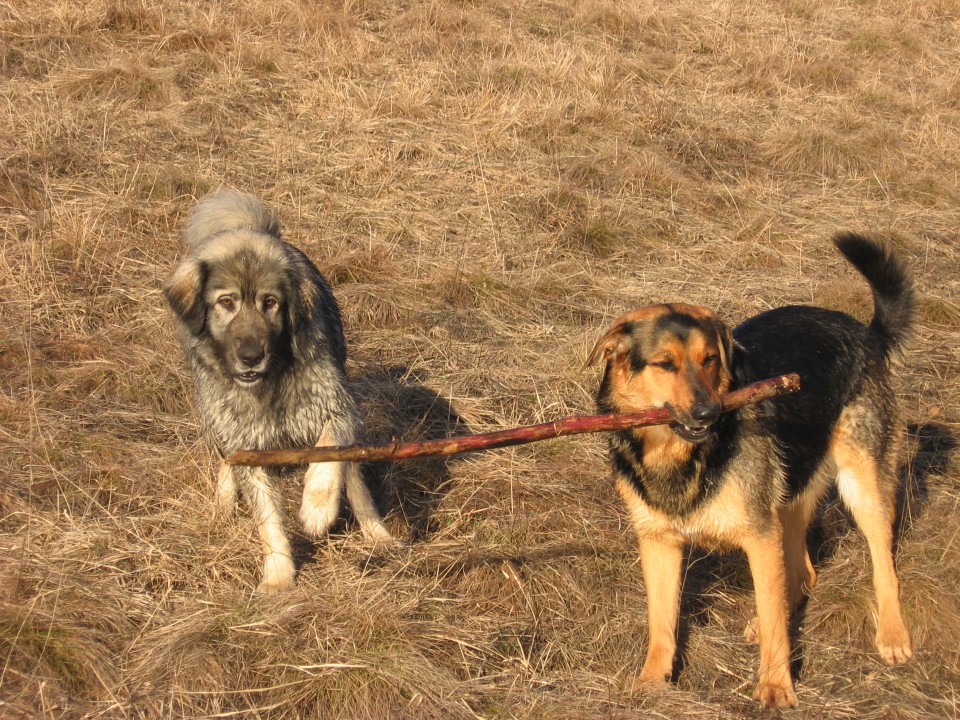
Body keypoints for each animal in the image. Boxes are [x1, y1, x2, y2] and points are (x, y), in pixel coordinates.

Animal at [584, 233, 916, 704]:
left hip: (862, 486)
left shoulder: (759, 536)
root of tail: (865, 332)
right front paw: (652, 682)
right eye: (665, 364)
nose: (708, 412)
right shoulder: (658, 541)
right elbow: (661, 623)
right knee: (803, 573)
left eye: (709, 359)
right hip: (790, 497)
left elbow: (776, 620)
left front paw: (776, 685)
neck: (678, 454)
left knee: (881, 561)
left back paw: (891, 635)